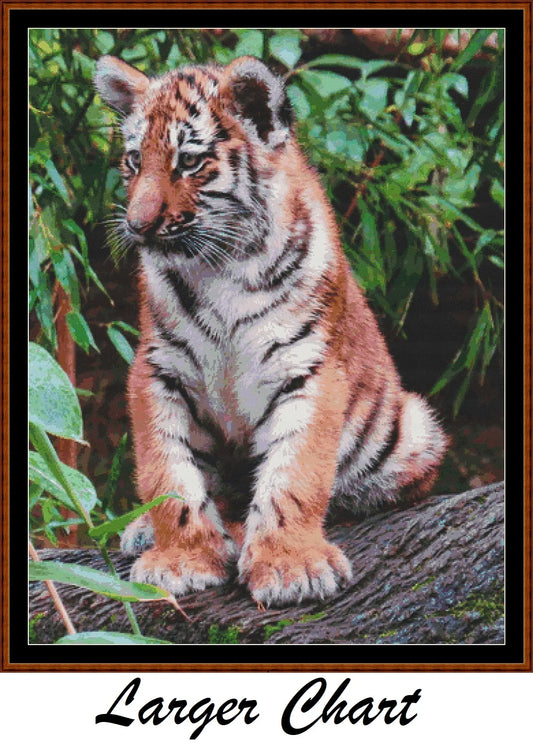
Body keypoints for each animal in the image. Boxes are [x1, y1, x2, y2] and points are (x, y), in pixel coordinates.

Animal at [94, 54, 447, 607]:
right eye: (133, 160)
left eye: (189, 162)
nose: (137, 225)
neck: (218, 266)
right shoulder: (158, 371)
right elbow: (168, 473)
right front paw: (182, 558)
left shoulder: (310, 368)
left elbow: (294, 474)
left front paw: (289, 566)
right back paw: (151, 530)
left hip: (412, 429)